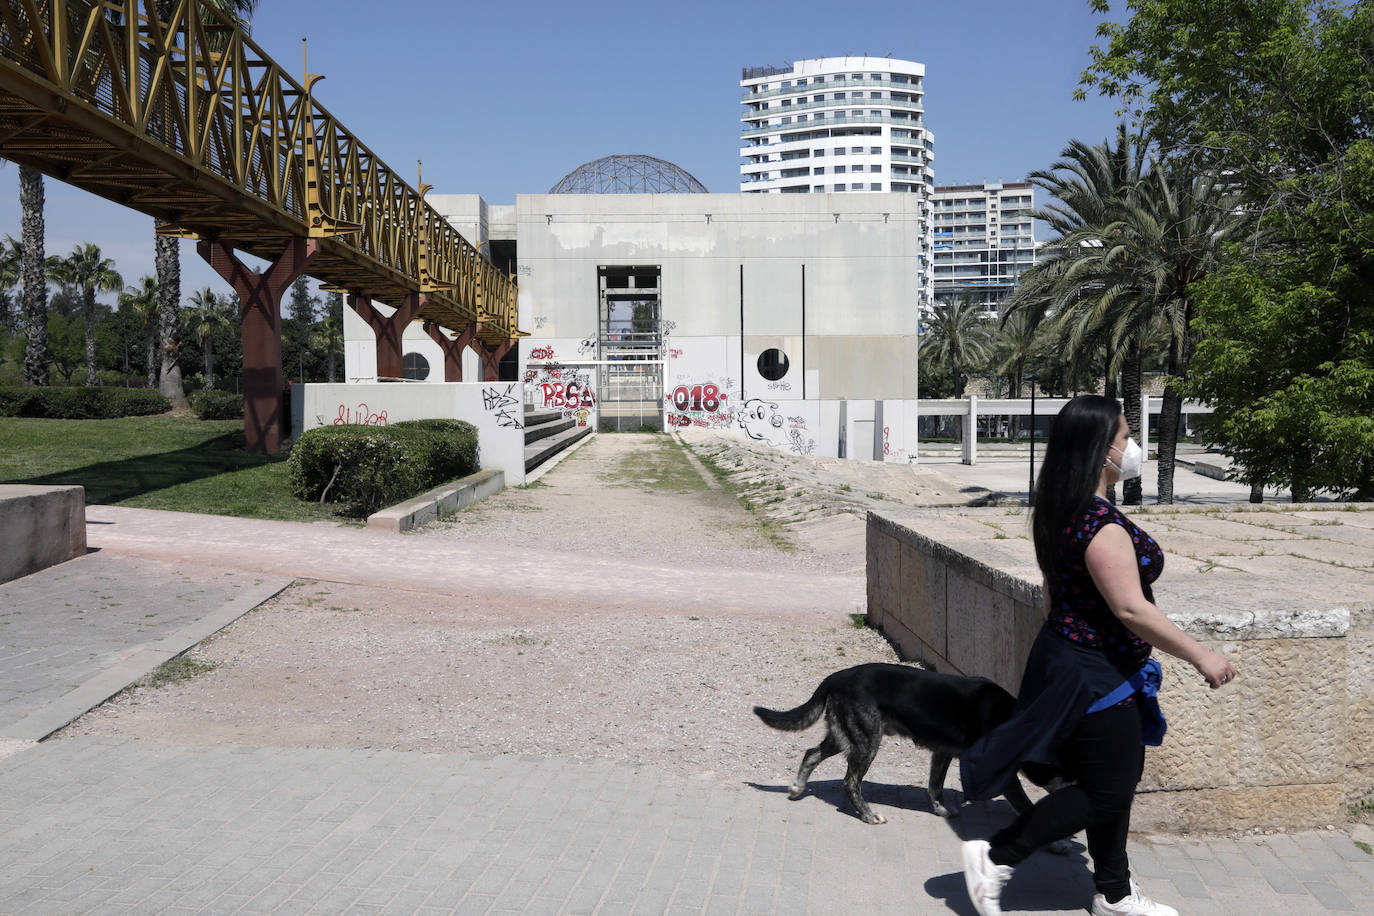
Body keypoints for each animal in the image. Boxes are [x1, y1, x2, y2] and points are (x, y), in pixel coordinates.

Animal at [758, 661, 1055, 829]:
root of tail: (837, 677)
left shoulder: (942, 753)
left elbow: (935, 786)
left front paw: (940, 810)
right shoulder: (1001, 772)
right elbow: (1027, 805)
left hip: (846, 736)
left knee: (811, 753)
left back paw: (797, 788)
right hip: (867, 741)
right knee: (849, 783)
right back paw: (868, 815)